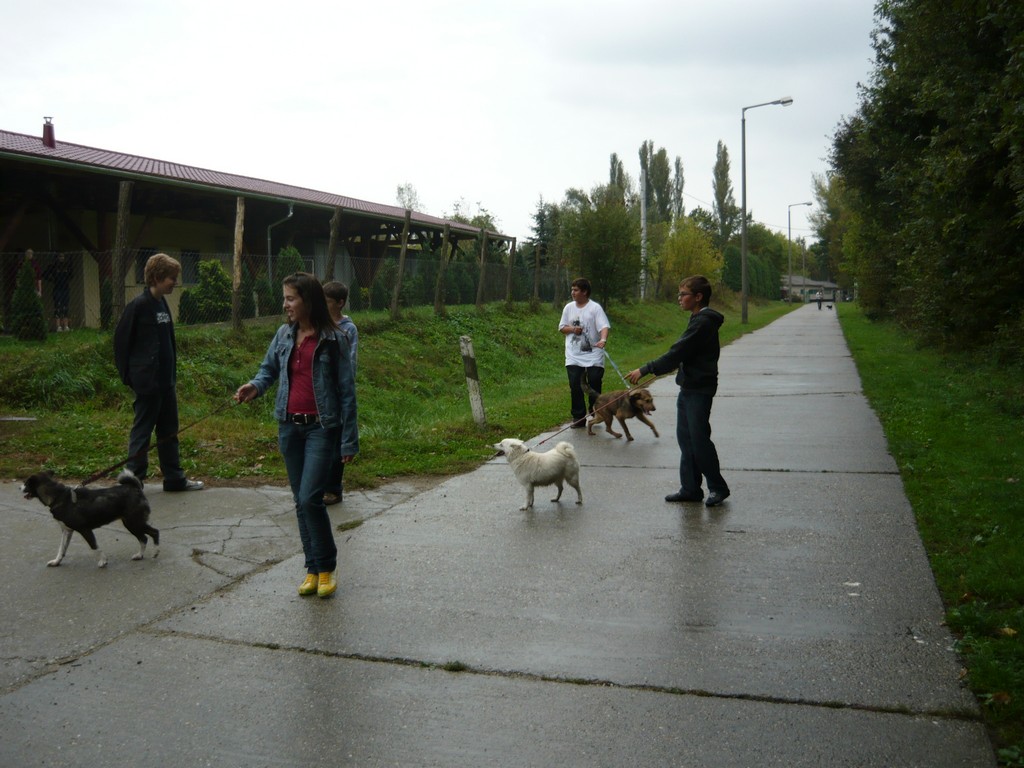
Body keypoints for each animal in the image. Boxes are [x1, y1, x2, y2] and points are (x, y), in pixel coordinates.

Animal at [21, 469, 159, 568]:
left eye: (26, 483)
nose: (19, 488)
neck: (59, 497)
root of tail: (135, 488)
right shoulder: (66, 531)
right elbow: (61, 549)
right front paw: (56, 561)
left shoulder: (85, 530)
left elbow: (94, 546)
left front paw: (103, 560)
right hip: (131, 523)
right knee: (143, 538)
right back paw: (140, 555)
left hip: (134, 522)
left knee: (154, 532)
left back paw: (156, 552)